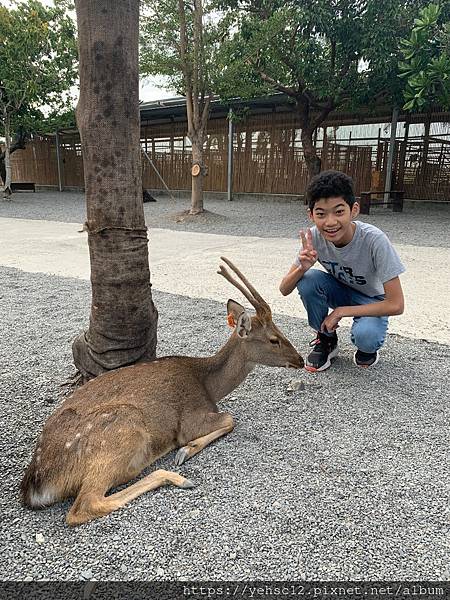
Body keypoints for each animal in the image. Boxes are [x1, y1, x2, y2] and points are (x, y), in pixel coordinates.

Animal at [20, 258, 302, 524]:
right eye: (274, 339)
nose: (300, 360)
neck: (208, 385)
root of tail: (35, 484)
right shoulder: (190, 418)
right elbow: (229, 419)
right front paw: (185, 451)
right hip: (121, 431)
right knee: (85, 505)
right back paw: (178, 477)